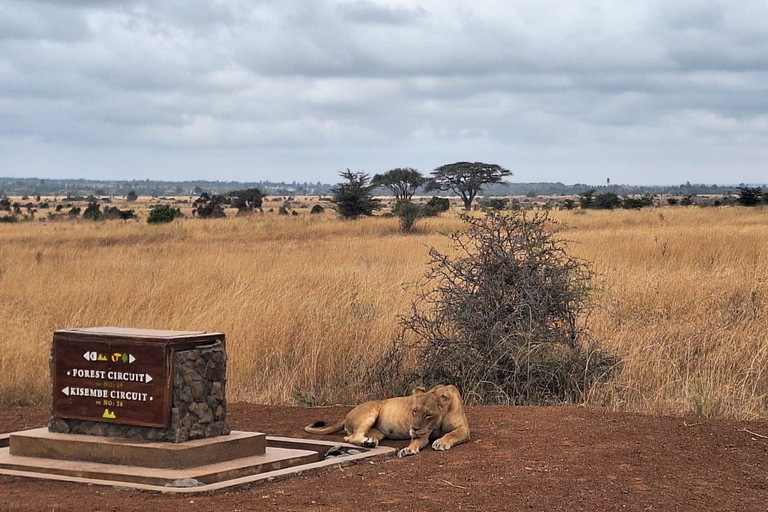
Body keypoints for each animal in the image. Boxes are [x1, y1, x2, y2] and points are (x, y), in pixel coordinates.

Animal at [304, 382, 472, 458]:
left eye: (428, 414)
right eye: (414, 411)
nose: (413, 429)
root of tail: (346, 417)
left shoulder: (464, 429)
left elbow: (452, 434)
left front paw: (441, 442)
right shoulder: (422, 433)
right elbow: (417, 440)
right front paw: (408, 449)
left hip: (379, 433)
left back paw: (369, 442)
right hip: (372, 409)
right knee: (350, 437)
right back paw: (368, 443)